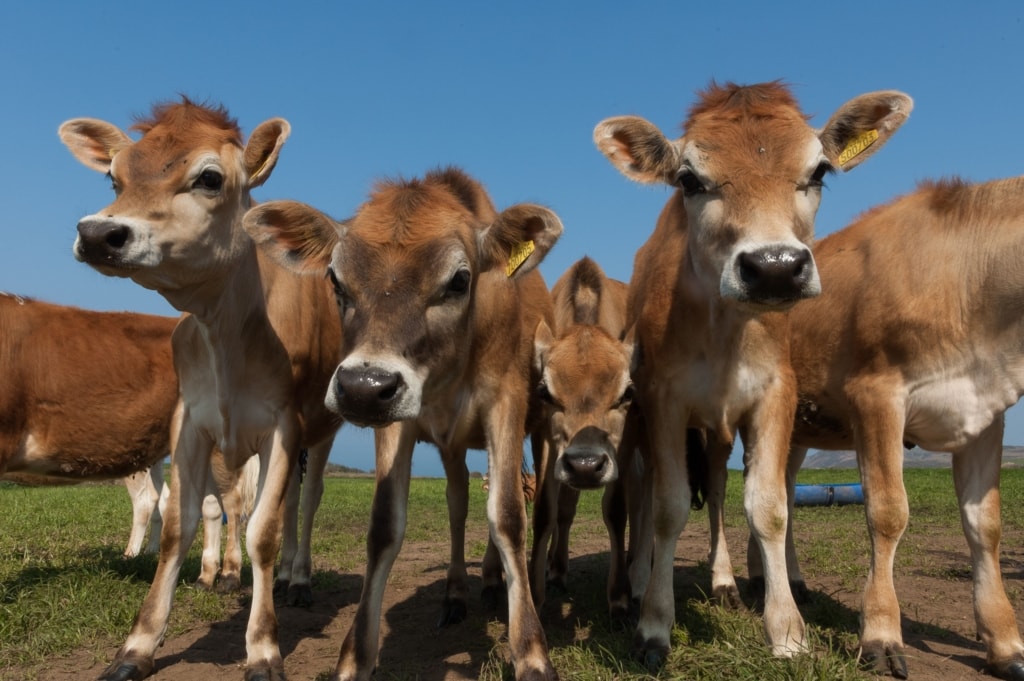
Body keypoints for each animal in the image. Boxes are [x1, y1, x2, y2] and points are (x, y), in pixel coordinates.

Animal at [60, 96, 344, 679]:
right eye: (114, 177)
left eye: (209, 178)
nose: (98, 234)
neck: (226, 330)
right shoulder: (191, 422)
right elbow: (177, 526)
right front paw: (138, 646)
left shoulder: (282, 425)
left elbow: (262, 532)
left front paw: (262, 647)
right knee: (288, 499)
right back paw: (285, 577)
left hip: (322, 429)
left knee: (307, 502)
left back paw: (299, 579)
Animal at [243, 165, 565, 679]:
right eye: (335, 279)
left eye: (459, 280)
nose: (362, 386)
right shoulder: (395, 422)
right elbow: (385, 528)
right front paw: (355, 657)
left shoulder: (506, 404)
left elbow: (509, 516)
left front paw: (532, 651)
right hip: (452, 445)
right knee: (459, 503)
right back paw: (462, 592)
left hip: (536, 431)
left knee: (531, 504)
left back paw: (518, 587)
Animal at [593, 82, 913, 667]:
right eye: (689, 179)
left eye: (819, 171)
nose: (774, 267)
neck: (725, 333)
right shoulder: (662, 400)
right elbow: (668, 508)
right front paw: (653, 625)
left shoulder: (773, 397)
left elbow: (769, 507)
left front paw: (786, 630)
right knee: (647, 496)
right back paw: (641, 575)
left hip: (719, 433)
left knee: (719, 491)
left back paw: (722, 582)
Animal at [704, 174, 1024, 675]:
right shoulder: (876, 395)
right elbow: (888, 512)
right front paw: (881, 635)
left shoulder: (985, 414)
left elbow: (985, 526)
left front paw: (1004, 642)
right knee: (719, 491)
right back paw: (726, 585)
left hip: (793, 423)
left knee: (782, 487)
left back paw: (778, 580)